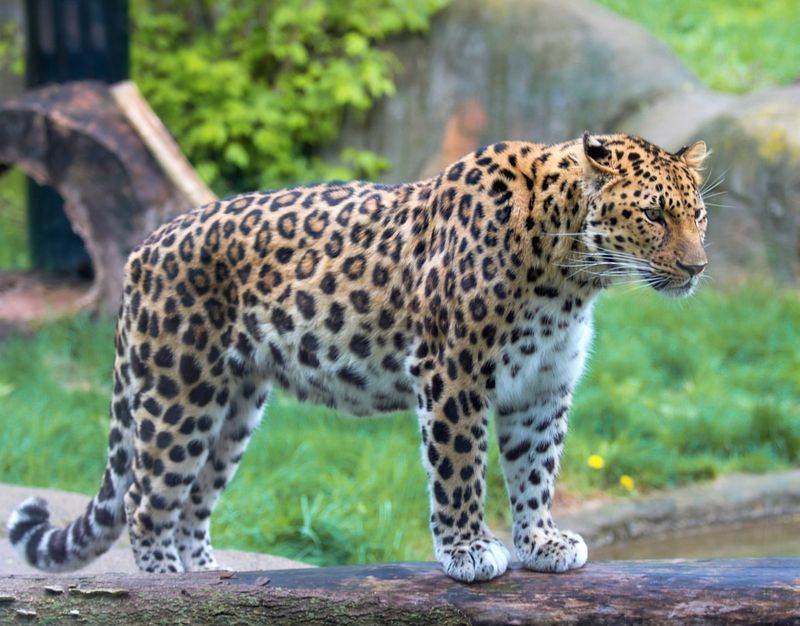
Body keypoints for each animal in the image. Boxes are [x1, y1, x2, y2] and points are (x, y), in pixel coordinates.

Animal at [6, 132, 708, 580]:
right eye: (653, 215)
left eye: (698, 215)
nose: (699, 267)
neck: (570, 275)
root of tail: (141, 251)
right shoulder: (452, 374)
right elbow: (461, 470)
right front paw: (468, 552)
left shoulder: (542, 385)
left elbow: (536, 471)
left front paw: (541, 542)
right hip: (181, 394)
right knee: (147, 500)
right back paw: (164, 582)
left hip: (234, 409)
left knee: (193, 504)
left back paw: (207, 574)